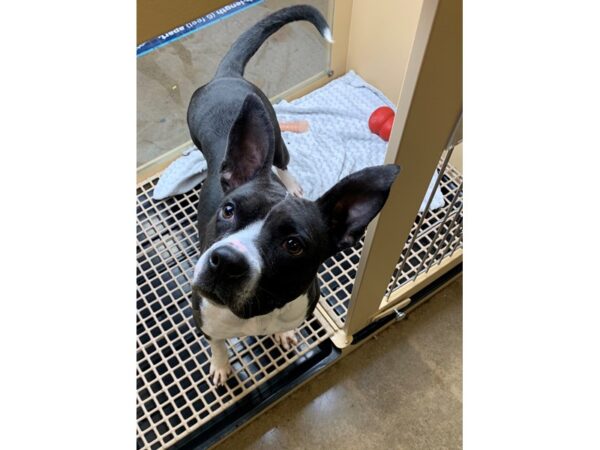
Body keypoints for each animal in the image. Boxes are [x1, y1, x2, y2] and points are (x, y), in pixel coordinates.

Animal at [190, 4, 400, 384]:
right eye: (228, 210)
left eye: (293, 244)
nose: (226, 261)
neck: (258, 310)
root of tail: (226, 76)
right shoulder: (204, 316)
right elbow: (218, 342)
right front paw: (221, 365)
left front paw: (284, 334)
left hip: (275, 135)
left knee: (283, 161)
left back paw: (291, 184)